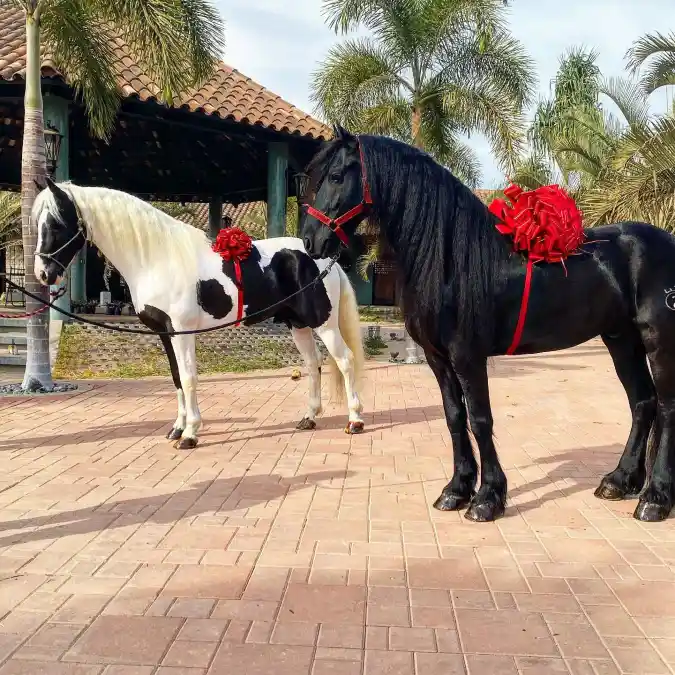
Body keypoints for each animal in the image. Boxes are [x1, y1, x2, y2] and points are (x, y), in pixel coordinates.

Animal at [32, 178, 365, 448]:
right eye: (38, 224)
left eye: (56, 224)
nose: (44, 274)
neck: (157, 258)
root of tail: (324, 257)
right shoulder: (164, 333)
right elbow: (176, 377)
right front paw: (177, 429)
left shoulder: (181, 331)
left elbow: (189, 377)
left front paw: (190, 434)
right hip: (297, 325)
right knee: (313, 364)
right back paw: (310, 417)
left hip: (324, 324)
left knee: (345, 361)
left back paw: (355, 420)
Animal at [301, 126, 675, 523]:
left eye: (336, 176)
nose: (310, 240)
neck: (450, 259)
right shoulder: (437, 358)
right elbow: (454, 417)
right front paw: (455, 490)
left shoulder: (468, 356)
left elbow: (480, 419)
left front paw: (487, 498)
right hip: (621, 339)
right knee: (643, 402)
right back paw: (620, 481)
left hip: (659, 339)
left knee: (667, 406)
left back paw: (655, 498)